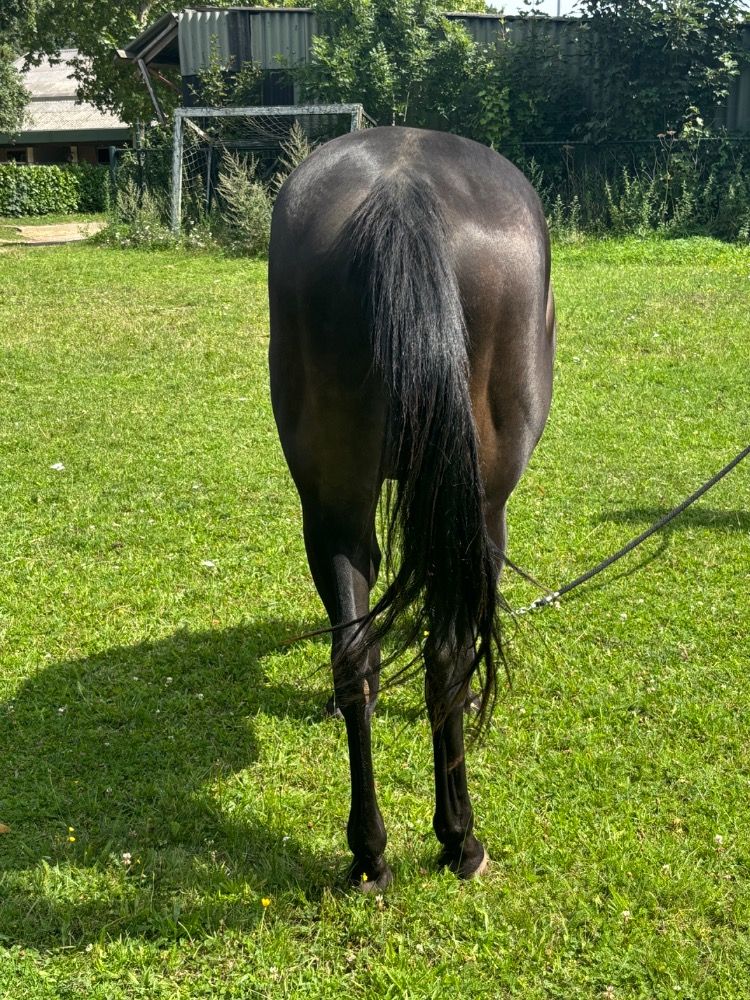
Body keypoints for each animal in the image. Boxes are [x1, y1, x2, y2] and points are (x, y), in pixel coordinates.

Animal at [268, 126, 555, 890]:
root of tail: (403, 194)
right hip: (480, 507)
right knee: (448, 653)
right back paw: (460, 839)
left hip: (332, 504)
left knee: (352, 654)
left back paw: (368, 852)